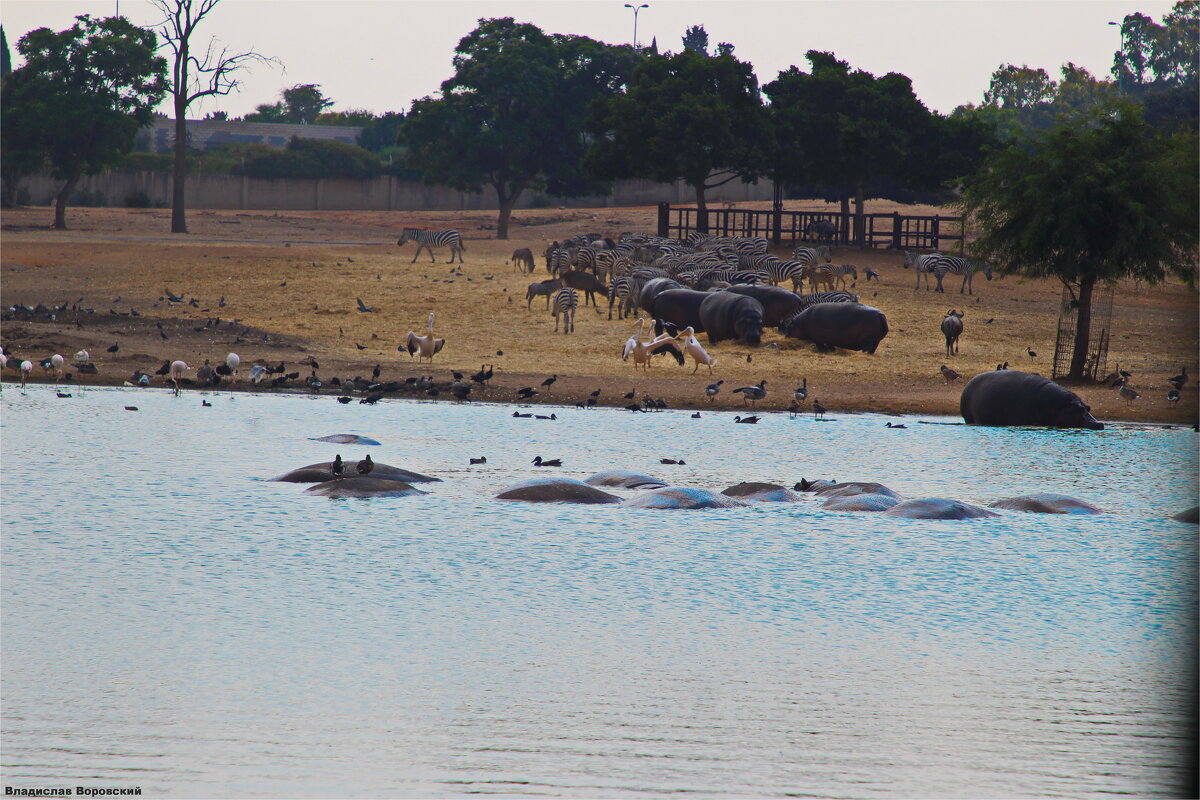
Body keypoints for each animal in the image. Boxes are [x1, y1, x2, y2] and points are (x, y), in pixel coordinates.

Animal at [955, 371, 1104, 429]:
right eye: (1079, 408)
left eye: (1088, 407)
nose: (1099, 423)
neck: (1060, 406)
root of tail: (969, 382)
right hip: (969, 417)